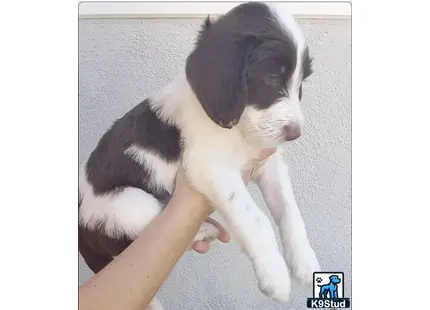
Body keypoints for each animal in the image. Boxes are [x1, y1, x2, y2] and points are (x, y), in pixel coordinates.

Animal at [78, 1, 320, 308]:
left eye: (302, 81)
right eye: (272, 77)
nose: (294, 134)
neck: (239, 127)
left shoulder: (267, 162)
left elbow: (290, 210)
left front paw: (305, 262)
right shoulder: (211, 168)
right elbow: (256, 218)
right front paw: (274, 275)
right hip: (127, 203)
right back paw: (205, 229)